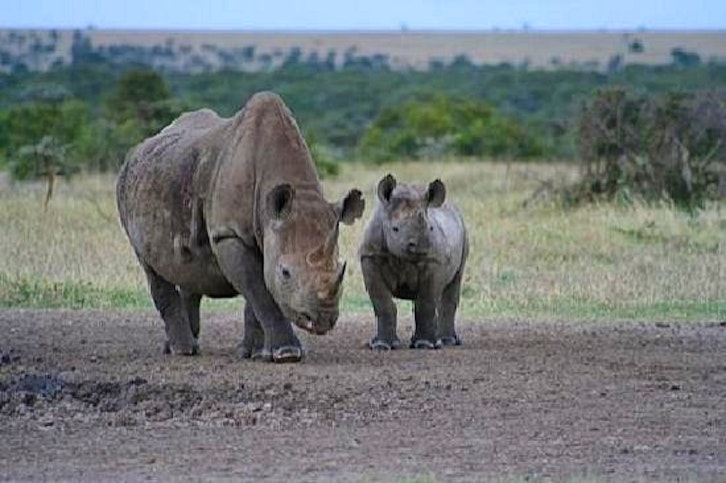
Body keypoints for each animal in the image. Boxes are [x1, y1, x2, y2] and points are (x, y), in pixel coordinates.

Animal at [116, 91, 364, 363]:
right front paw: (286, 353)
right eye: (285, 273)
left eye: (339, 267)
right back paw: (184, 350)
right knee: (151, 267)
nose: (322, 320)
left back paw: (177, 346)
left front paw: (255, 352)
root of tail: (135, 151)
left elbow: (257, 293)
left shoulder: (266, 232)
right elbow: (260, 291)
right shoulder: (229, 234)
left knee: (186, 268)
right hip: (126, 187)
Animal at [359, 174, 468, 350]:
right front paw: (381, 345)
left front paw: (424, 344)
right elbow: (382, 303)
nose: (422, 246)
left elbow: (425, 303)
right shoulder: (370, 258)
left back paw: (445, 341)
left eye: (431, 228)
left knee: (453, 283)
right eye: (395, 229)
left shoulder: (434, 261)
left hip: (464, 232)